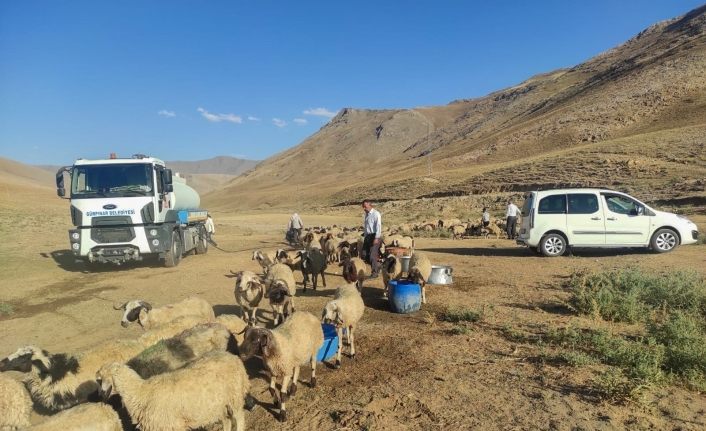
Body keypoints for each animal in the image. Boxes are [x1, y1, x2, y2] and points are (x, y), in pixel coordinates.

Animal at [96, 352, 249, 431]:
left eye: (100, 379)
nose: (100, 395)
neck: (141, 393)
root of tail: (231, 355)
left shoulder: (172, 425)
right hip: (220, 403)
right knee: (226, 420)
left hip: (235, 395)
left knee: (239, 417)